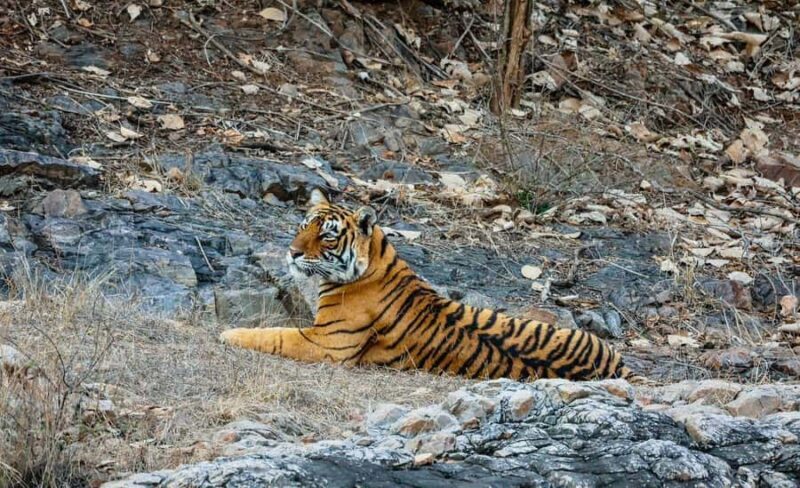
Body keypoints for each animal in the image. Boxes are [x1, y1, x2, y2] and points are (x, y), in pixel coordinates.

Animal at [220, 188, 643, 382]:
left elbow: (272, 335)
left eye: (326, 236)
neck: (374, 260)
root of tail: (621, 369)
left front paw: (228, 333)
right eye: (302, 226)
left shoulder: (326, 343)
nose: (291, 253)